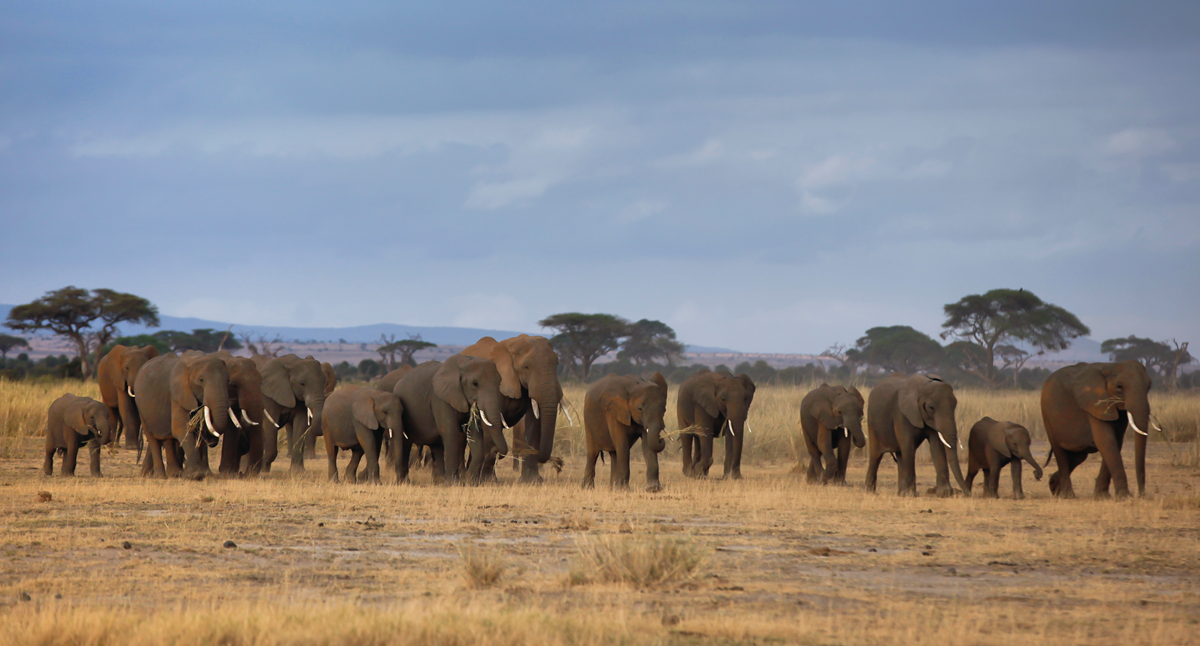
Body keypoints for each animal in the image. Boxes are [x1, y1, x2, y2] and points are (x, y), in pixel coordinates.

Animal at [463, 333, 566, 480]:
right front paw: (488, 480)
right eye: (526, 366)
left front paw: (532, 480)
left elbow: (534, 422)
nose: (558, 462)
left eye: (556, 363)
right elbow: (491, 423)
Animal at [1041, 357, 1152, 497]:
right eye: (1119, 387)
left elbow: (1116, 441)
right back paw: (1068, 496)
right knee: (1060, 452)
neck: (1110, 367)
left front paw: (1102, 496)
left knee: (1079, 456)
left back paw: (1054, 486)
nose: (1141, 495)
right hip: (1046, 413)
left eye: (1149, 386)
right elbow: (1107, 441)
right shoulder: (1094, 403)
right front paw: (1125, 497)